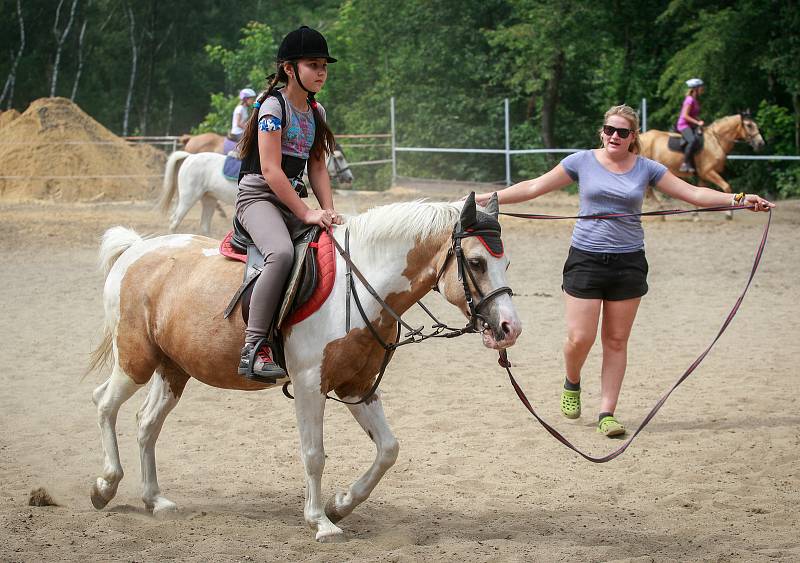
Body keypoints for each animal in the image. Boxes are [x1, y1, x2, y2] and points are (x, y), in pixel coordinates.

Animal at [87, 195, 520, 540]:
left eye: (506, 262)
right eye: (477, 262)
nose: (509, 328)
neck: (358, 285)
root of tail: (136, 249)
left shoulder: (356, 386)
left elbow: (388, 449)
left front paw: (341, 504)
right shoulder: (311, 385)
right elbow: (314, 453)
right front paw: (320, 522)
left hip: (173, 369)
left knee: (146, 423)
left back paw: (155, 500)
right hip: (136, 360)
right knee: (104, 403)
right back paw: (105, 485)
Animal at [159, 148, 354, 236]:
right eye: (339, 158)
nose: (350, 177)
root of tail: (190, 156)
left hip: (209, 200)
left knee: (205, 226)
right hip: (189, 197)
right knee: (174, 221)